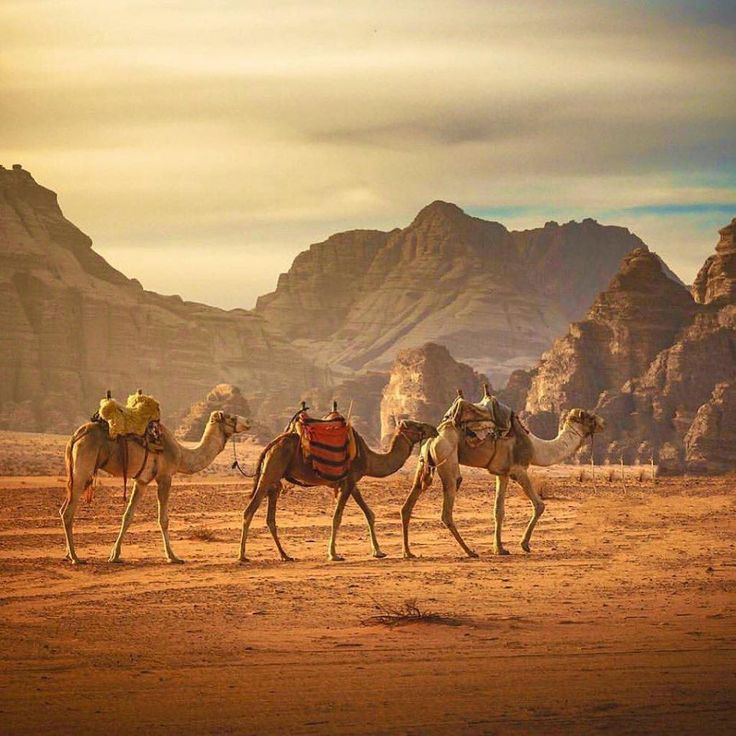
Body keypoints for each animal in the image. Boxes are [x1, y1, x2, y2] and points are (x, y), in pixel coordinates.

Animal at [240, 406, 436, 560]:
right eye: (418, 426)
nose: (434, 429)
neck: (368, 459)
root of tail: (271, 445)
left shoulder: (351, 482)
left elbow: (369, 514)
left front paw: (378, 551)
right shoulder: (348, 481)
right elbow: (337, 517)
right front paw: (333, 554)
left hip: (274, 477)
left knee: (270, 517)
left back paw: (284, 555)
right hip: (271, 471)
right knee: (249, 510)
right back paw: (242, 556)